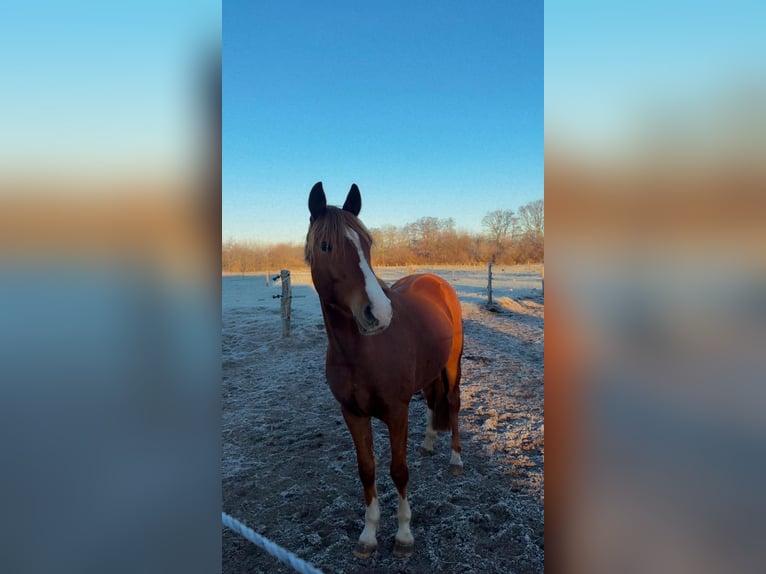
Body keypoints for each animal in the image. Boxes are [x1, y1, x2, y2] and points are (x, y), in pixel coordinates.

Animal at [305, 181, 464, 559]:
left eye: (367, 244)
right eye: (326, 245)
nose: (378, 313)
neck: (360, 352)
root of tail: (436, 280)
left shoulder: (396, 411)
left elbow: (399, 470)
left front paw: (404, 534)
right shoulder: (352, 413)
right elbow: (367, 470)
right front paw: (368, 534)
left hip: (452, 365)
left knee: (451, 403)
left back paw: (454, 459)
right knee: (433, 403)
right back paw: (428, 443)